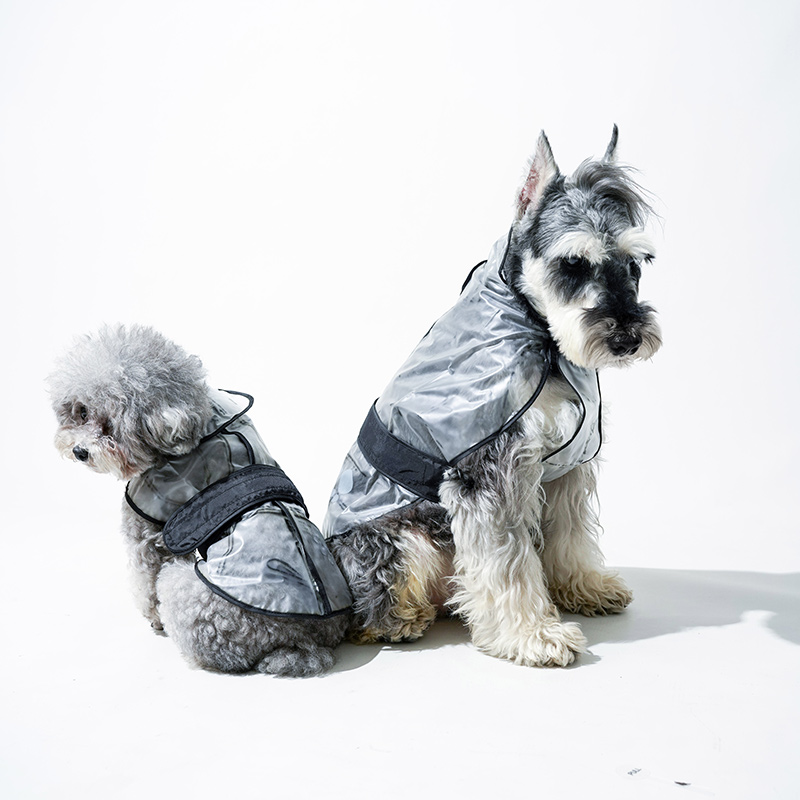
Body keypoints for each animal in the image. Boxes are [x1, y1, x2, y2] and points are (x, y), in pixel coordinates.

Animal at [48, 324, 352, 676]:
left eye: (112, 427)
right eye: (82, 412)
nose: (80, 451)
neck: (198, 419)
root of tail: (302, 642)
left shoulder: (147, 526)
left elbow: (145, 578)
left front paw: (152, 618)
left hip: (184, 590)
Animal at [324, 128, 664, 668]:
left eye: (637, 262)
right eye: (573, 263)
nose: (628, 337)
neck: (544, 337)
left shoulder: (565, 471)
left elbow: (569, 536)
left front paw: (584, 587)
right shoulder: (487, 475)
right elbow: (507, 562)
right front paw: (534, 635)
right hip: (404, 540)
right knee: (378, 606)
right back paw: (403, 618)